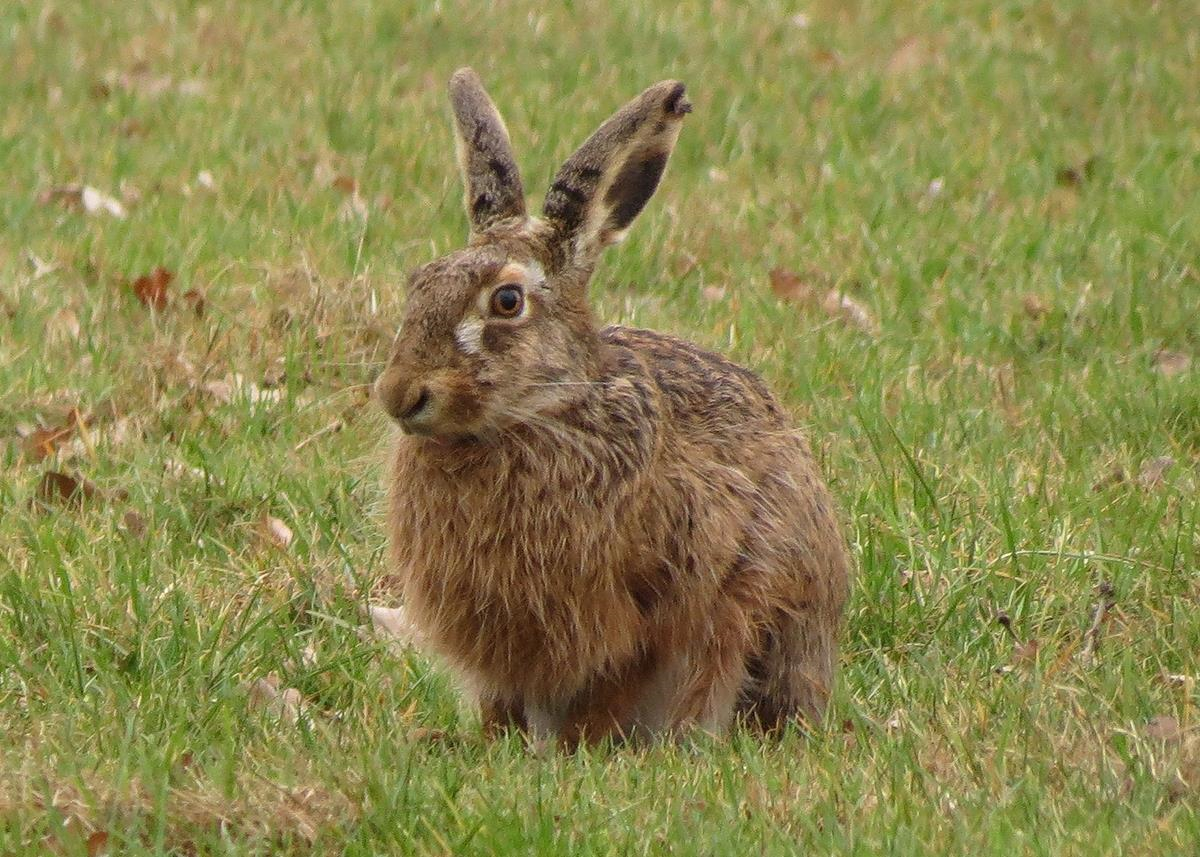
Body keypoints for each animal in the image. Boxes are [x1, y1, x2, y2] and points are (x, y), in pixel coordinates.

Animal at [374, 68, 851, 747]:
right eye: (420, 283)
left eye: (508, 301)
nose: (399, 393)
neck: (540, 414)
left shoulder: (648, 605)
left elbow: (616, 680)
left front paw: (578, 749)